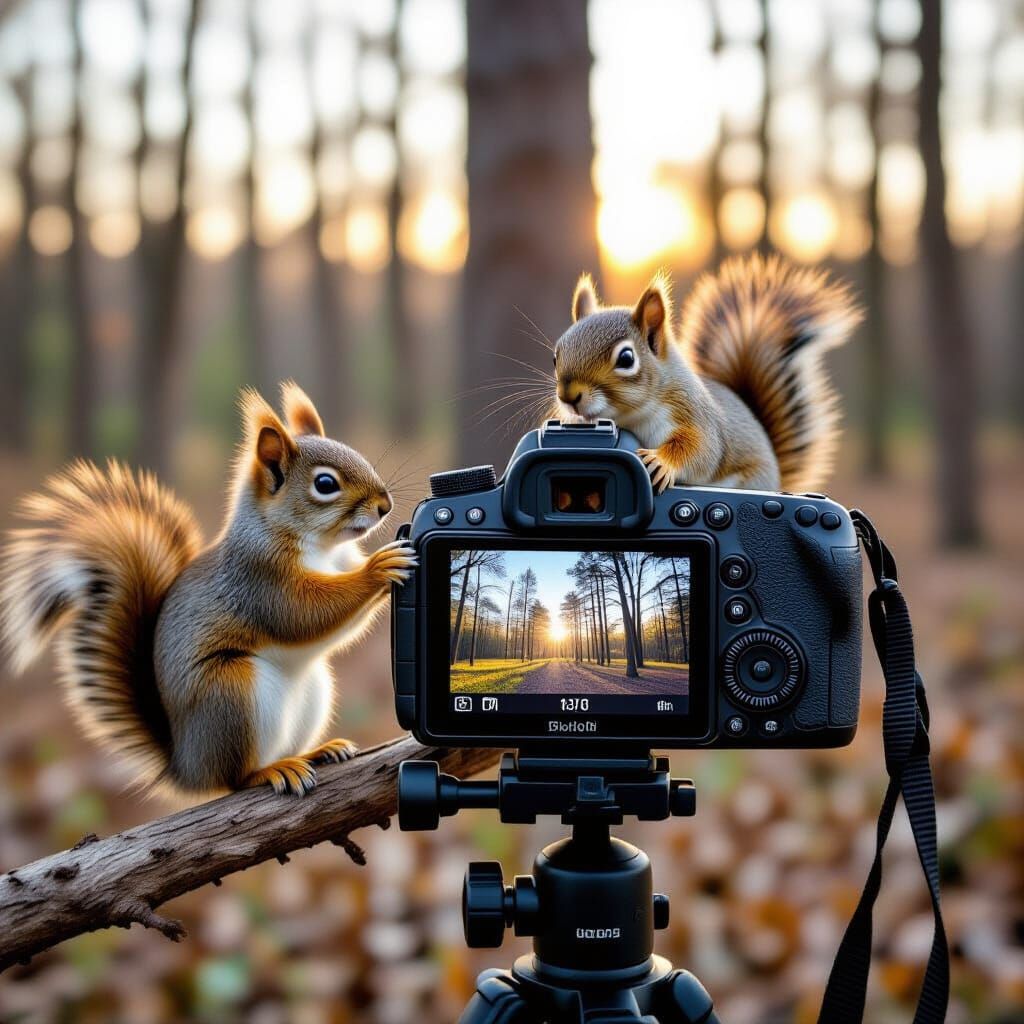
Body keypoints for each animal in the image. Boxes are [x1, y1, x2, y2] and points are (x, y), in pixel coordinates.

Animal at [0, 382, 416, 797]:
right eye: (325, 484)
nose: (384, 505)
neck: (322, 546)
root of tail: (186, 765)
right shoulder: (258, 578)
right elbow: (301, 613)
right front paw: (378, 569)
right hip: (230, 693)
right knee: (234, 778)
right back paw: (273, 770)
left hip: (314, 690)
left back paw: (316, 752)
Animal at [552, 253, 862, 494]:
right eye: (555, 356)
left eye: (626, 358)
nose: (568, 396)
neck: (631, 417)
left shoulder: (692, 415)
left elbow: (702, 450)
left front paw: (661, 462)